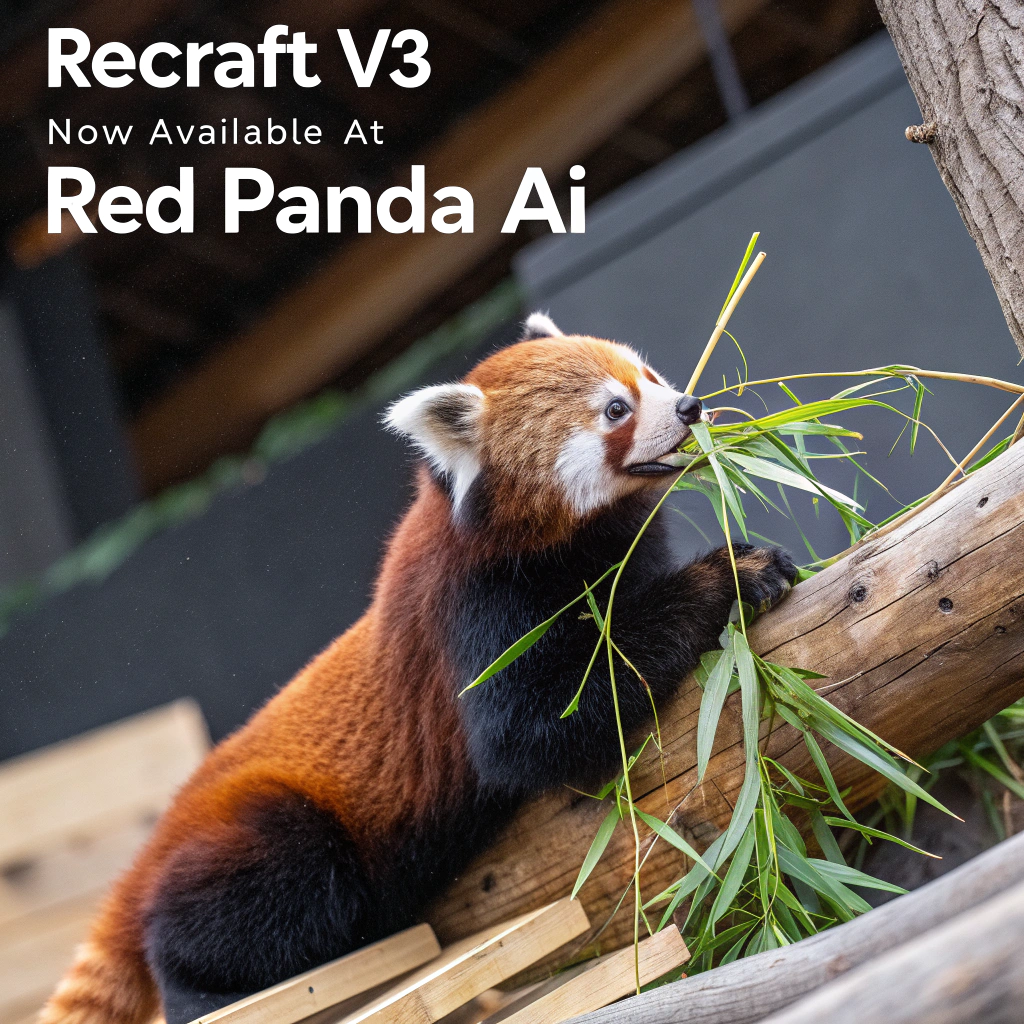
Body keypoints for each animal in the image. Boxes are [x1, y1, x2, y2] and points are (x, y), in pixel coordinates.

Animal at [42, 315, 795, 1024]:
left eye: (651, 377)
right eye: (616, 409)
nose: (691, 405)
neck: (567, 543)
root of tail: (159, 835)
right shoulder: (477, 610)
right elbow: (528, 732)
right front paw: (728, 575)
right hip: (266, 835)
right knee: (288, 890)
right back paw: (204, 991)